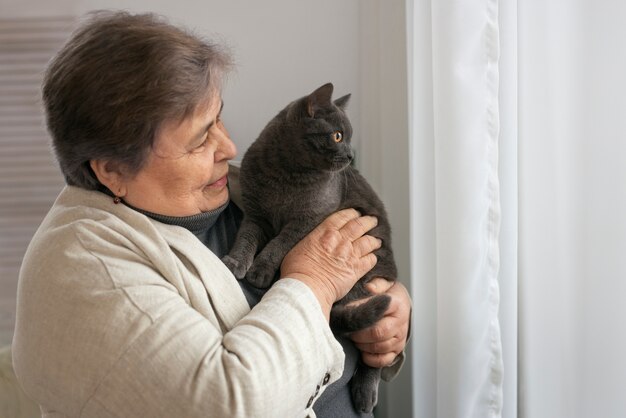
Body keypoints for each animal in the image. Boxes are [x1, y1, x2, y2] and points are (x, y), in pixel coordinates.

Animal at [222, 83, 394, 414]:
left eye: (349, 136)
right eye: (337, 136)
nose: (351, 154)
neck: (285, 175)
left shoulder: (307, 220)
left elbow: (279, 245)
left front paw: (260, 271)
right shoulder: (256, 214)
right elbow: (246, 238)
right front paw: (236, 262)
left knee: (376, 350)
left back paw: (366, 395)